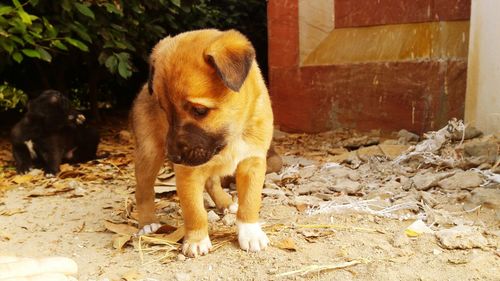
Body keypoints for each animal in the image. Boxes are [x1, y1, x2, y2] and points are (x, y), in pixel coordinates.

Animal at [131, 30, 276, 256]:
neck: (231, 136)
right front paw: (197, 240)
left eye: (199, 110)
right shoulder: (187, 173)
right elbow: (194, 210)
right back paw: (147, 222)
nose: (173, 157)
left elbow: (250, 201)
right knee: (143, 189)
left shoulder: (253, 162)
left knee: (212, 182)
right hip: (149, 153)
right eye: (163, 110)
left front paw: (250, 232)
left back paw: (225, 202)